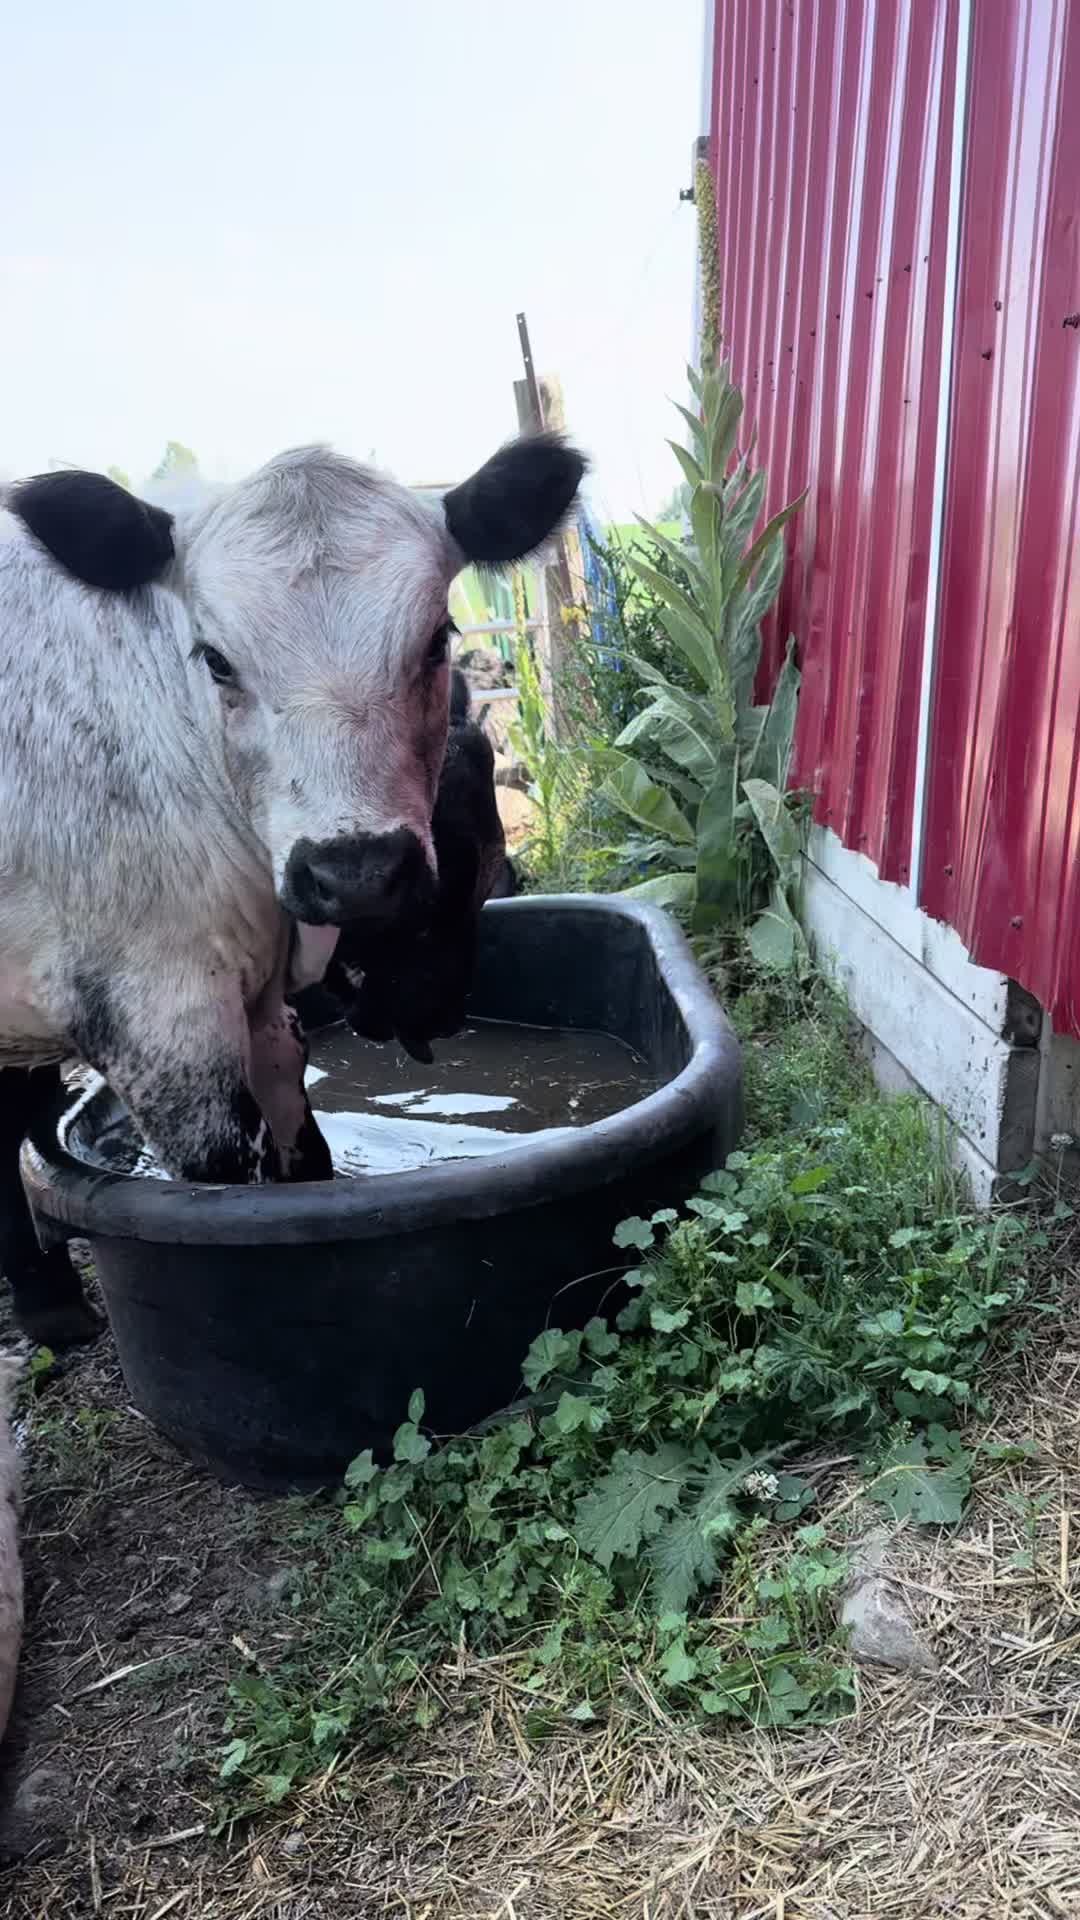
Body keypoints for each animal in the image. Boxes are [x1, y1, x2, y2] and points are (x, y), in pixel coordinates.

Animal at [0, 437, 585, 1343]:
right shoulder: (162, 1023)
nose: (357, 874)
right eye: (215, 658)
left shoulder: (264, 1012)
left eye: (436, 638)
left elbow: (304, 1167)